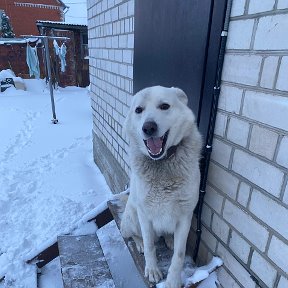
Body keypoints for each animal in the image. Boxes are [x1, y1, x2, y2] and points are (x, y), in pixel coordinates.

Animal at [120, 86, 201, 288]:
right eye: (138, 110)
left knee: (166, 236)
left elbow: (179, 254)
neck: (162, 163)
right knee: (133, 235)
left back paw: (170, 239)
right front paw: (152, 270)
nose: (148, 127)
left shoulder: (185, 216)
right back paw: (139, 243)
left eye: (164, 106)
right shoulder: (144, 214)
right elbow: (150, 246)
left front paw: (172, 281)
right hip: (132, 216)